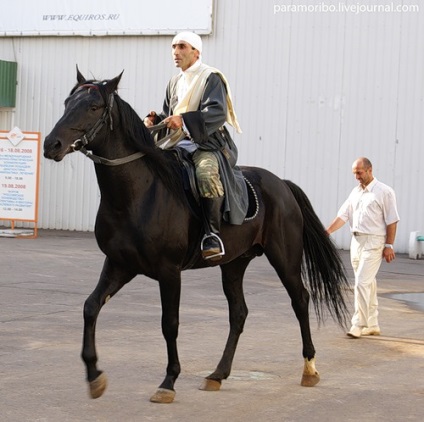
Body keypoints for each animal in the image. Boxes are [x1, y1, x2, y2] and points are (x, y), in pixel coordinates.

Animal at [44, 71, 348, 404]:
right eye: (67, 102)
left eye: (94, 107)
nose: (51, 144)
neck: (138, 194)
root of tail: (281, 183)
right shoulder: (119, 264)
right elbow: (90, 307)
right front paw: (94, 375)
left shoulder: (168, 271)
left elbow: (170, 323)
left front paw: (168, 381)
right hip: (234, 264)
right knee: (238, 313)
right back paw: (217, 374)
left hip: (285, 258)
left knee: (300, 299)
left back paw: (309, 368)